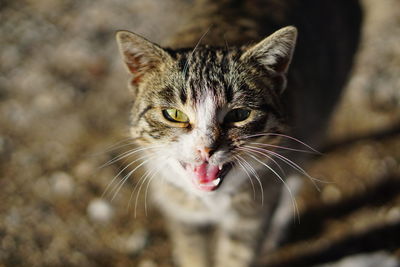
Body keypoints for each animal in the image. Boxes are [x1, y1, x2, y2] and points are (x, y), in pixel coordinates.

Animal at [114, 1, 360, 266]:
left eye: (239, 114)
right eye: (174, 114)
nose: (206, 148)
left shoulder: (251, 218)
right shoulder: (183, 214)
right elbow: (193, 252)